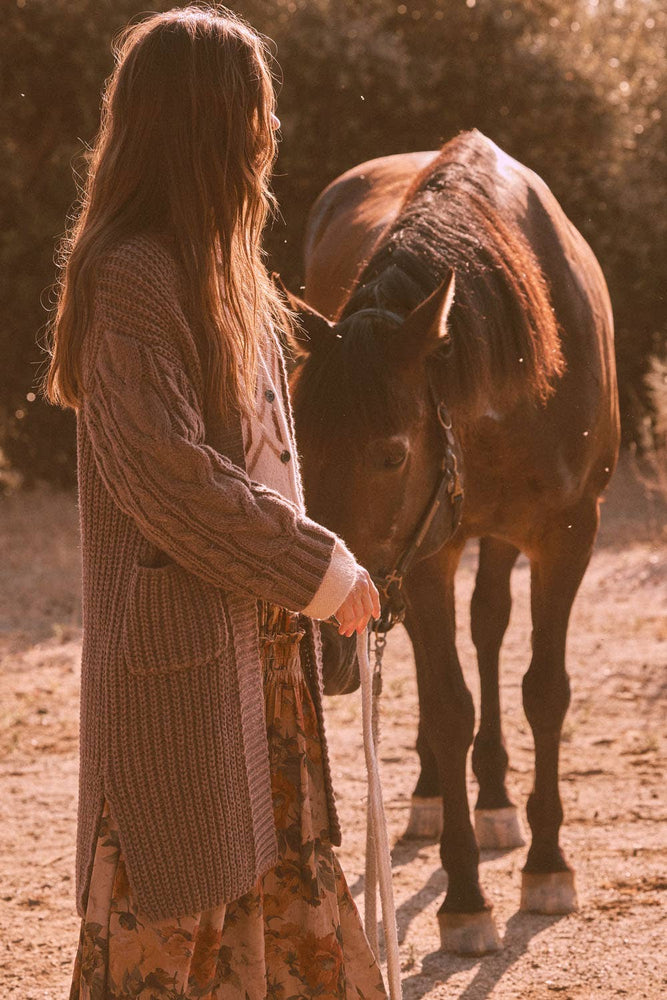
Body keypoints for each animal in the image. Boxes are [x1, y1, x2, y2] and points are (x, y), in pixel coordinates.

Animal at [286, 129, 620, 956]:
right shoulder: (425, 554)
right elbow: (446, 707)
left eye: (391, 455)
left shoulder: (569, 534)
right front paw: (465, 898)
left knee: (491, 624)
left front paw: (546, 864)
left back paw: (495, 796)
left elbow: (544, 689)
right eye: (299, 445)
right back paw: (434, 791)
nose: (323, 638)